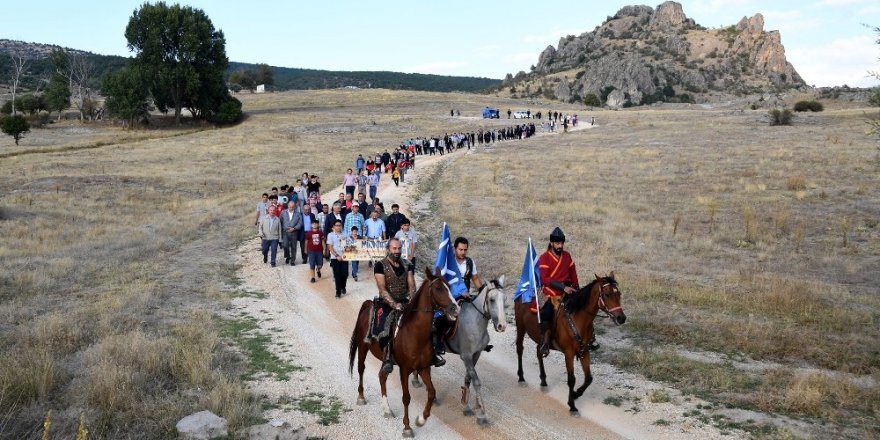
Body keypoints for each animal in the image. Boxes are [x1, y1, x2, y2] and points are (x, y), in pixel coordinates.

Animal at [348, 266, 464, 438]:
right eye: (438, 288)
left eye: (449, 286)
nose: (456, 309)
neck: (415, 334)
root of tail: (368, 305)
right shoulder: (404, 369)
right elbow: (406, 397)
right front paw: (407, 427)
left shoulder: (423, 368)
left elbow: (431, 392)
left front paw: (421, 419)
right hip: (363, 347)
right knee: (361, 368)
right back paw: (361, 397)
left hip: (386, 360)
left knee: (382, 376)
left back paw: (387, 409)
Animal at [412, 276, 508, 424]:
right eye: (491, 299)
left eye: (505, 299)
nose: (502, 326)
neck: (475, 322)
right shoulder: (466, 356)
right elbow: (476, 381)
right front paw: (481, 413)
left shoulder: (475, 355)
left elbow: (468, 378)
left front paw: (466, 405)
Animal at [512, 272, 628, 412]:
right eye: (607, 294)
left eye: (619, 293)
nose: (621, 318)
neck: (579, 319)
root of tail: (523, 292)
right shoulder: (568, 353)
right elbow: (571, 379)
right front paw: (572, 404)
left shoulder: (584, 352)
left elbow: (588, 378)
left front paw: (576, 394)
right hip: (520, 327)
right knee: (519, 349)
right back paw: (521, 377)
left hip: (540, 339)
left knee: (539, 352)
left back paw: (543, 381)